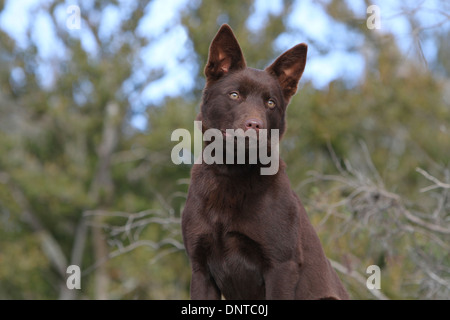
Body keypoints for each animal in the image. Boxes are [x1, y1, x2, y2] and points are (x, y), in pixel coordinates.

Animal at [181, 25, 350, 300]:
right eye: (235, 95)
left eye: (270, 103)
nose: (255, 125)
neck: (232, 172)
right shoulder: (200, 269)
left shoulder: (281, 266)